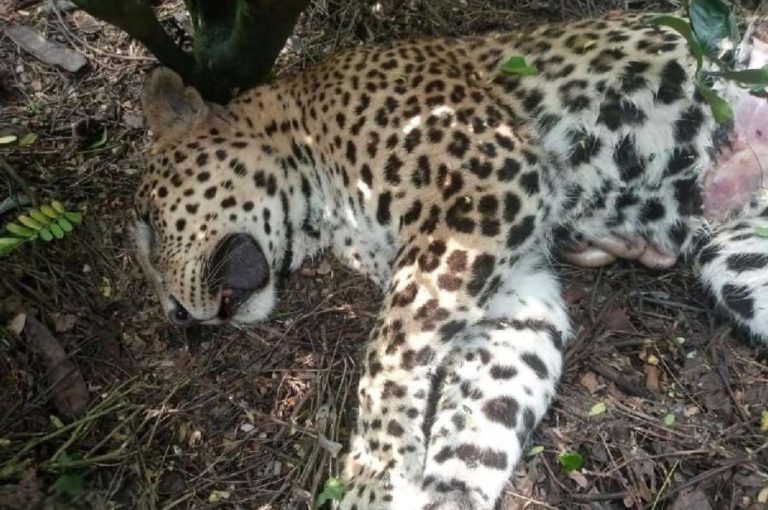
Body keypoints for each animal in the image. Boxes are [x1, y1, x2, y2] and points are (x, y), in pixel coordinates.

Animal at [133, 10, 768, 510]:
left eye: (146, 223)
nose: (176, 318)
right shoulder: (512, 286)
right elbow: (483, 415)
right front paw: (440, 491)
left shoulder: (480, 188)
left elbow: (388, 353)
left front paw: (374, 475)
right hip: (737, 258)